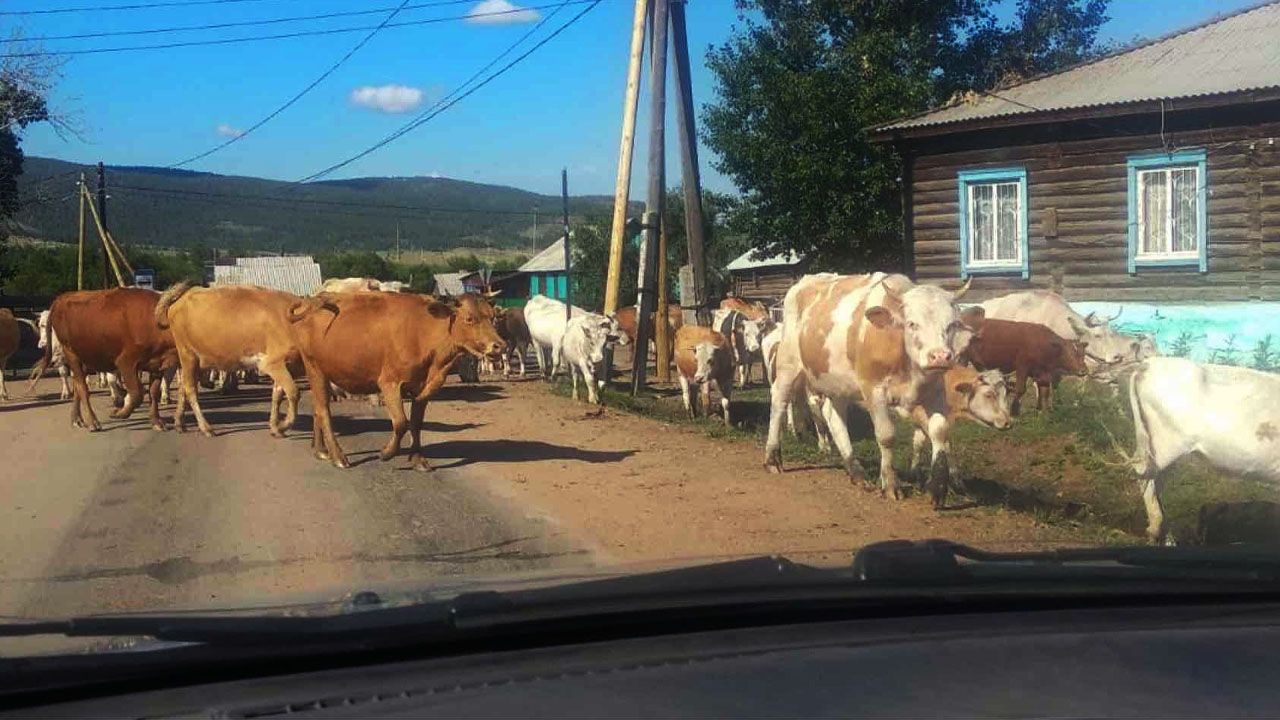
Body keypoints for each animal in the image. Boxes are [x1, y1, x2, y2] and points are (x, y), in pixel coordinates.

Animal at [45, 286, 177, 430]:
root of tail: (60, 299)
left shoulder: (157, 364)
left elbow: (153, 392)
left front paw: (156, 421)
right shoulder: (126, 363)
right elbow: (137, 394)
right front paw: (119, 413)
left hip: (84, 358)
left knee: (77, 386)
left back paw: (77, 419)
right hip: (71, 353)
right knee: (82, 388)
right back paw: (92, 422)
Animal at [156, 283, 309, 435]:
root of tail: (185, 294)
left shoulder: (285, 366)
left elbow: (277, 395)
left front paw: (275, 427)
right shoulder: (272, 363)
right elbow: (294, 393)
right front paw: (284, 425)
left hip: (195, 361)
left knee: (183, 387)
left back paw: (179, 423)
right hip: (187, 354)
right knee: (190, 389)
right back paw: (205, 427)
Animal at [291, 288, 504, 468]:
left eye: (493, 317)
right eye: (469, 318)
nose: (499, 346)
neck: (423, 332)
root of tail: (313, 300)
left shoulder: (423, 388)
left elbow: (416, 422)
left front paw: (418, 459)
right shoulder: (390, 383)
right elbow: (401, 422)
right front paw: (387, 452)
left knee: (317, 409)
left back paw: (321, 449)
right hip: (314, 369)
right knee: (323, 411)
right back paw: (337, 456)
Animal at [962, 310, 1090, 415]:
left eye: (1083, 354)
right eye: (1069, 354)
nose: (1083, 370)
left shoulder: (1043, 374)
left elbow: (1044, 391)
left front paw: (1043, 412)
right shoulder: (1022, 367)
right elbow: (1021, 389)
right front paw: (1014, 411)